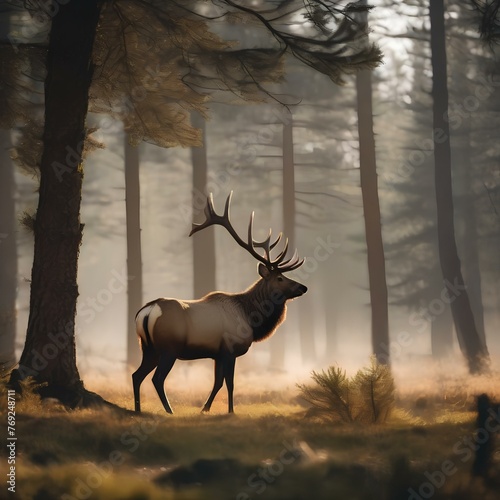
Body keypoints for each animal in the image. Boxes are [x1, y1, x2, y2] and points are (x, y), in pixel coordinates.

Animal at [131, 192, 306, 414]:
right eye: (280, 278)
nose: (303, 287)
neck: (250, 318)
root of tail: (147, 311)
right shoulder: (230, 349)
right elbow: (230, 383)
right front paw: (230, 411)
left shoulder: (217, 354)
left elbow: (217, 383)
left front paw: (205, 409)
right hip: (168, 348)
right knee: (157, 379)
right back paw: (169, 411)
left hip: (148, 347)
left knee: (136, 375)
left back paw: (138, 410)